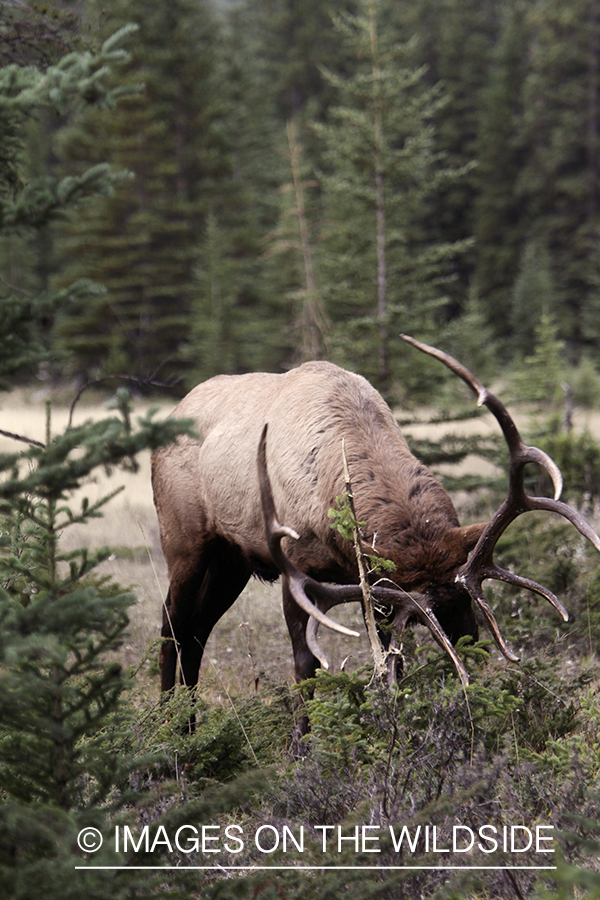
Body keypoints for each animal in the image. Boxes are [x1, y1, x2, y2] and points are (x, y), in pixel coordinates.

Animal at [151, 335, 600, 710]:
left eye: (468, 602)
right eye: (425, 618)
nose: (472, 648)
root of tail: (173, 414)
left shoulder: (377, 587)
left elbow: (387, 661)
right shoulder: (297, 571)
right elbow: (305, 666)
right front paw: (301, 747)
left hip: (232, 561)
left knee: (197, 631)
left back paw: (188, 718)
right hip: (185, 543)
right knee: (172, 623)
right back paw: (170, 723)